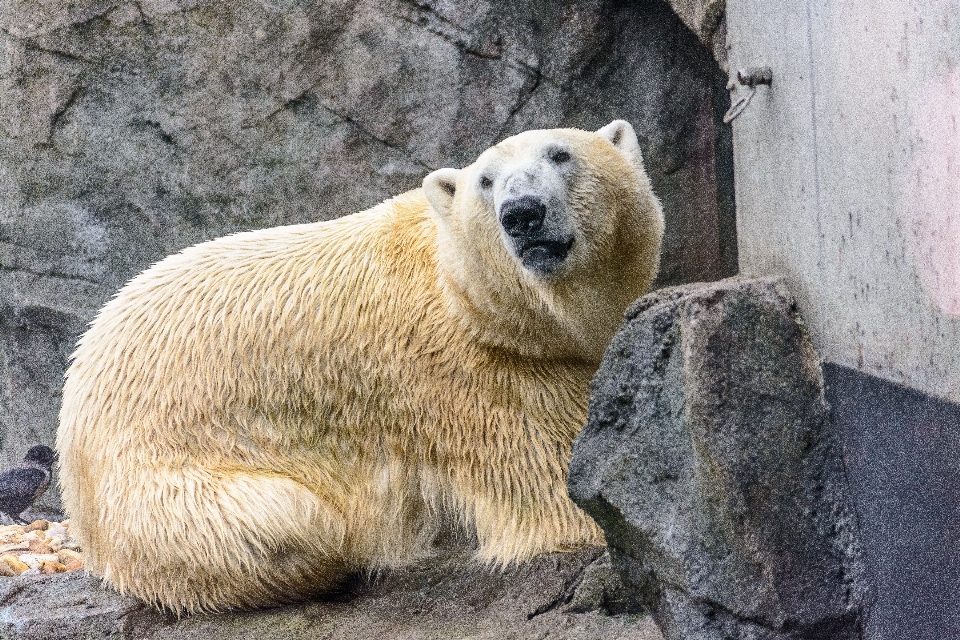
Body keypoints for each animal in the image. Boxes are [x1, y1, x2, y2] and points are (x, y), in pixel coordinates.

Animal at [56, 120, 664, 616]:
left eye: (561, 154)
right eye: (487, 181)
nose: (523, 213)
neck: (468, 297)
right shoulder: (471, 377)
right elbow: (554, 489)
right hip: (167, 482)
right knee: (287, 526)